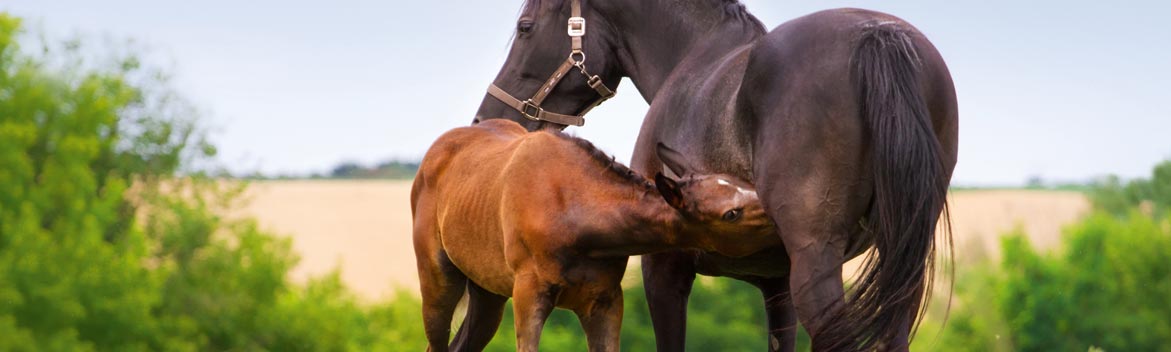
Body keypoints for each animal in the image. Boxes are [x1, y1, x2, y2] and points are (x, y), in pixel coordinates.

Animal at [412, 119, 777, 348]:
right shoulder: (529, 294)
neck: (573, 209)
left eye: (747, 184)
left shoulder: (605, 301)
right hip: (438, 283)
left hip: (488, 294)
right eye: (731, 213)